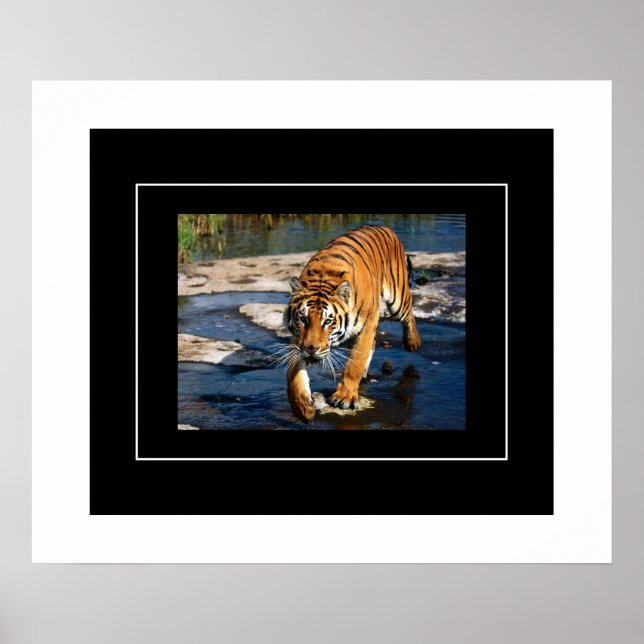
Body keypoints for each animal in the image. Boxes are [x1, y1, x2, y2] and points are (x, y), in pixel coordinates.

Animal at [283, 224, 421, 423]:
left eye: (328, 321)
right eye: (303, 319)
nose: (311, 349)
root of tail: (384, 226)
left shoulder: (367, 324)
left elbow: (355, 362)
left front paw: (345, 397)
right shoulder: (298, 338)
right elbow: (293, 375)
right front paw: (302, 408)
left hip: (397, 297)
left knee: (408, 314)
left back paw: (413, 342)